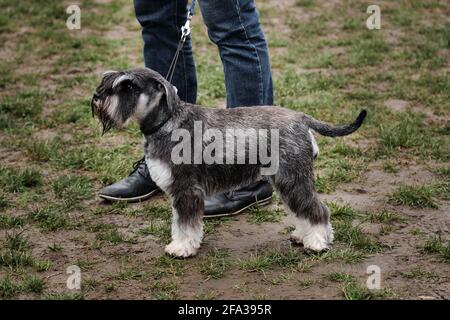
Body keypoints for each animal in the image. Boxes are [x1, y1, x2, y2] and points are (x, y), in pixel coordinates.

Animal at [90, 67, 366, 258]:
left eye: (129, 86)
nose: (97, 97)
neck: (168, 122)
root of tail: (301, 117)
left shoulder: (186, 189)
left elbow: (185, 223)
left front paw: (181, 248)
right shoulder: (180, 191)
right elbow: (180, 222)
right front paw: (183, 244)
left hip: (293, 177)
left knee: (317, 209)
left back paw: (318, 242)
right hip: (286, 180)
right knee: (302, 208)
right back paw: (303, 235)